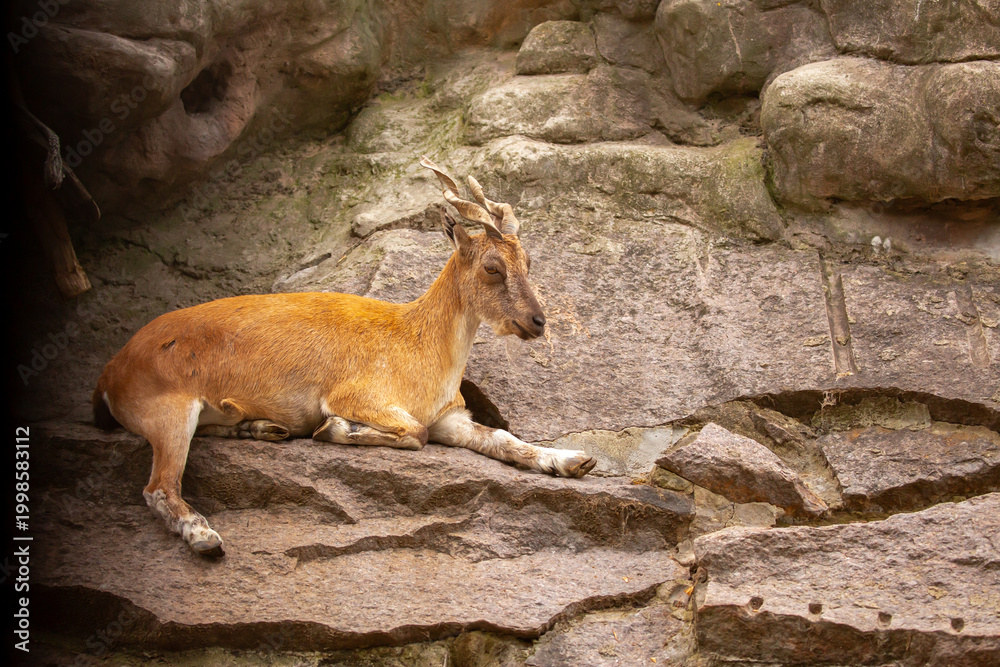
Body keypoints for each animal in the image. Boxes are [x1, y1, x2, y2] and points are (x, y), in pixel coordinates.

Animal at [93, 157, 596, 557]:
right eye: (492, 267)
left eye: (528, 262)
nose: (537, 322)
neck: (420, 346)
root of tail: (111, 371)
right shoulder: (357, 395)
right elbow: (409, 432)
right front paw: (333, 430)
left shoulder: (449, 418)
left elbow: (504, 440)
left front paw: (574, 460)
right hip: (169, 411)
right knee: (159, 487)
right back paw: (205, 537)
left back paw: (261, 428)